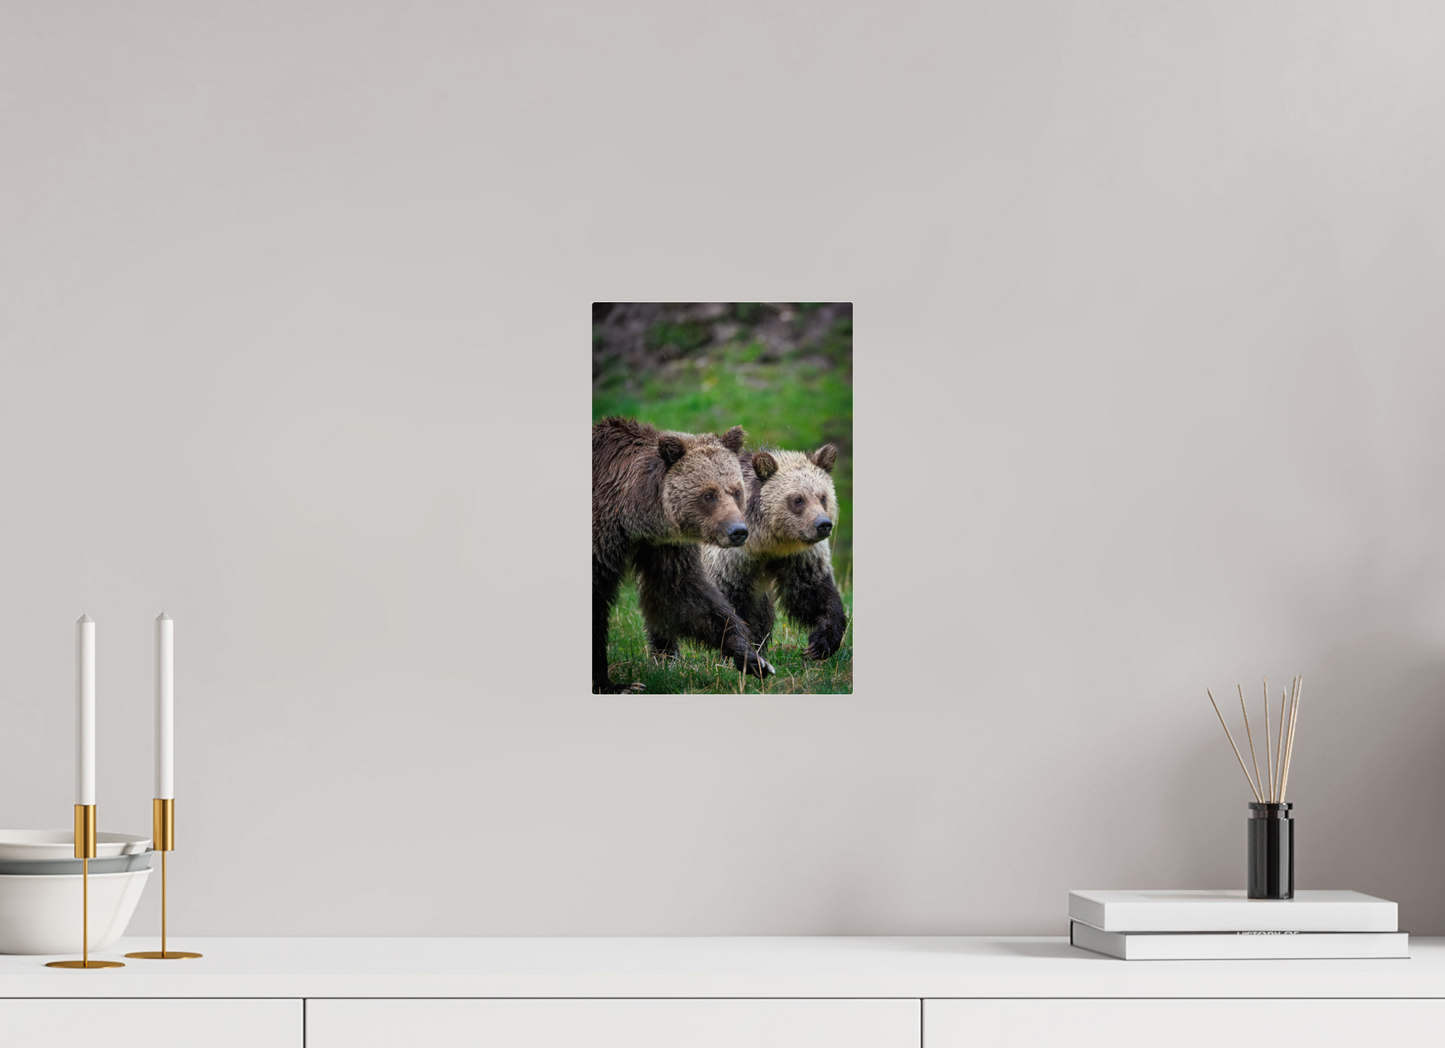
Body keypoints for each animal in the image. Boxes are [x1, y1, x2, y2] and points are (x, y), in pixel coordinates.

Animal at [592, 416, 776, 694]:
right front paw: (617, 684)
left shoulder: (663, 545)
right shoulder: (602, 538)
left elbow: (681, 593)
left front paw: (750, 656)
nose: (738, 531)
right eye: (708, 495)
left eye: (736, 491)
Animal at [696, 443, 848, 662]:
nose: (823, 525)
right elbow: (731, 603)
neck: (768, 543)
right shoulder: (730, 561)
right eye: (798, 499)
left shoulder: (799, 558)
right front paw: (740, 650)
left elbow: (812, 593)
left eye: (823, 497)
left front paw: (820, 644)